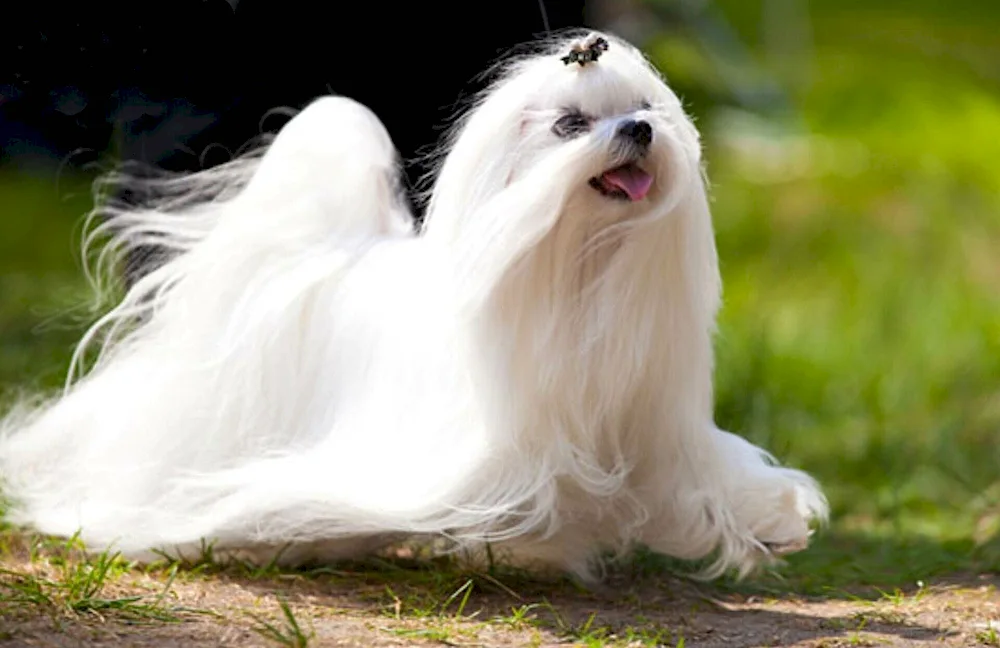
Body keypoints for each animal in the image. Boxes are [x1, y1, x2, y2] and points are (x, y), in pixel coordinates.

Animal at [1, 30, 828, 580]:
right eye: (570, 125)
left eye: (647, 106)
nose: (640, 129)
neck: (579, 267)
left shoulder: (658, 423)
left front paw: (768, 523)